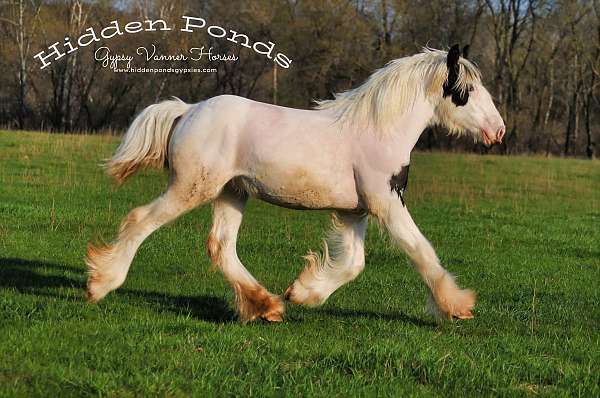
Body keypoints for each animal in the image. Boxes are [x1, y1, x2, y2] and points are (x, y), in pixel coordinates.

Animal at [84, 44, 506, 324]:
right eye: (466, 92)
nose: (498, 131)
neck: (376, 129)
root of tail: (188, 110)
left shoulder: (355, 211)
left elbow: (353, 264)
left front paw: (303, 292)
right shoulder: (386, 203)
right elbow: (420, 251)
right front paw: (458, 305)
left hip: (232, 192)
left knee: (221, 246)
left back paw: (267, 305)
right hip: (192, 188)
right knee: (141, 220)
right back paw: (101, 284)